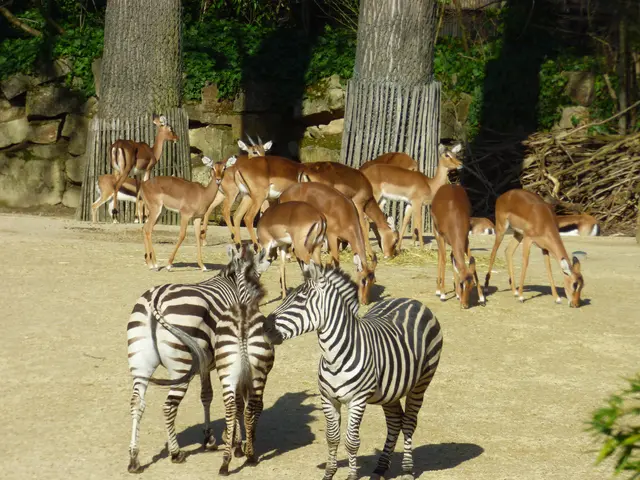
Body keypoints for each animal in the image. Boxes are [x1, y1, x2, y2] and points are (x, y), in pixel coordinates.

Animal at [126, 245, 270, 473]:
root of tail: (156, 299)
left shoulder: (206, 363)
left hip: (140, 364)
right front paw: (235, 442)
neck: (234, 285)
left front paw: (210, 438)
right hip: (181, 366)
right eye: (257, 276)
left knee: (137, 403)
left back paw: (134, 459)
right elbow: (236, 402)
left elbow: (206, 396)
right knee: (168, 407)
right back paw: (176, 453)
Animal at [263, 262, 443, 480]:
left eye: (300, 299)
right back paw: (380, 468)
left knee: (409, 422)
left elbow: (352, 441)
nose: (264, 326)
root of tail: (413, 301)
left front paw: (351, 475)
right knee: (394, 422)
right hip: (390, 391)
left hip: (421, 383)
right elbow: (332, 437)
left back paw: (407, 470)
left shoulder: (357, 400)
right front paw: (329, 473)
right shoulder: (327, 398)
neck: (334, 357)